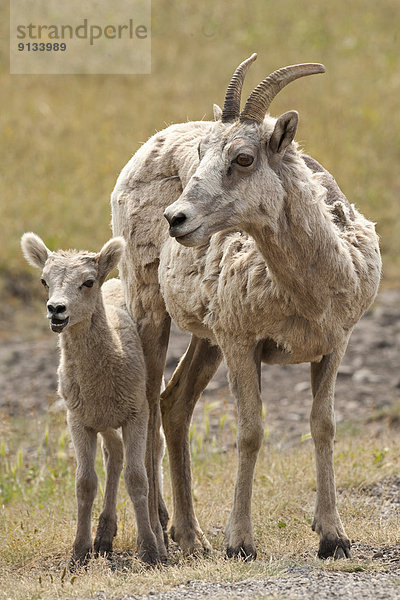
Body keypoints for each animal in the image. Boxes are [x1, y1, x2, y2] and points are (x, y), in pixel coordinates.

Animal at [20, 234, 161, 568]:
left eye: (88, 281)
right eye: (44, 280)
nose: (56, 310)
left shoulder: (136, 413)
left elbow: (137, 478)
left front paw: (149, 551)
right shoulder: (78, 420)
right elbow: (85, 483)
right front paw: (80, 552)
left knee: (153, 449)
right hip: (103, 421)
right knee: (114, 455)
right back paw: (105, 536)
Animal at [112, 54, 382, 560]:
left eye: (243, 158)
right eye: (201, 152)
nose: (176, 219)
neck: (308, 294)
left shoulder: (333, 346)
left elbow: (323, 425)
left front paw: (333, 537)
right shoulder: (242, 344)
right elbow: (251, 432)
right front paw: (240, 544)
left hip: (206, 340)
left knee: (174, 403)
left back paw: (190, 536)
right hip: (151, 311)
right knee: (149, 409)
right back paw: (160, 538)